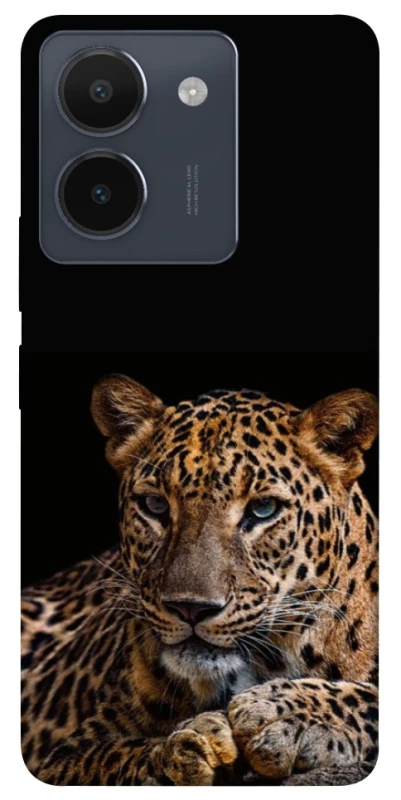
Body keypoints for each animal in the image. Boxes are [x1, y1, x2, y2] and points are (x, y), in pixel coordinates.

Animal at [21, 375, 378, 785]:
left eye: (263, 509)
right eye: (155, 506)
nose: (190, 608)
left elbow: (369, 698)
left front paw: (281, 713)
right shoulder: (63, 757)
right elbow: (117, 758)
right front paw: (188, 749)